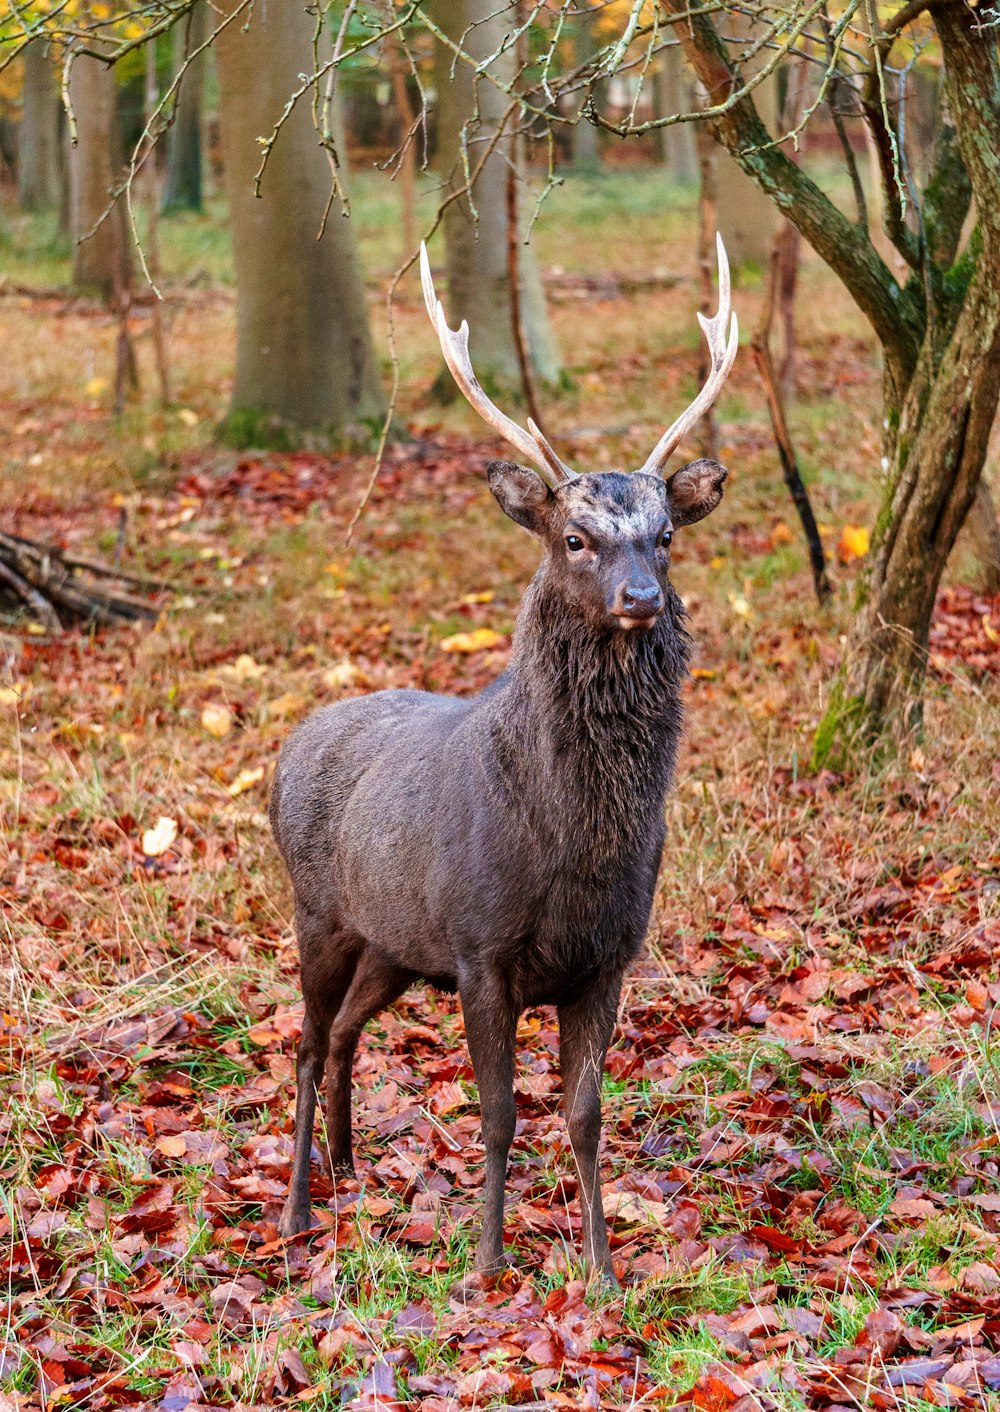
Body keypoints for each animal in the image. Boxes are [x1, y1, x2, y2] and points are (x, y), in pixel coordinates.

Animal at [269, 234, 740, 1293]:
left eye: (666, 534)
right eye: (575, 537)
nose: (643, 597)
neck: (573, 850)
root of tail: (289, 744)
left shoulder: (608, 956)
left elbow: (585, 1115)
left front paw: (601, 1269)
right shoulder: (482, 948)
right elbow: (496, 1116)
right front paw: (484, 1263)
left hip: (394, 941)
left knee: (350, 1028)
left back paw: (351, 1166)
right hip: (318, 912)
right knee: (307, 1041)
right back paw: (296, 1209)